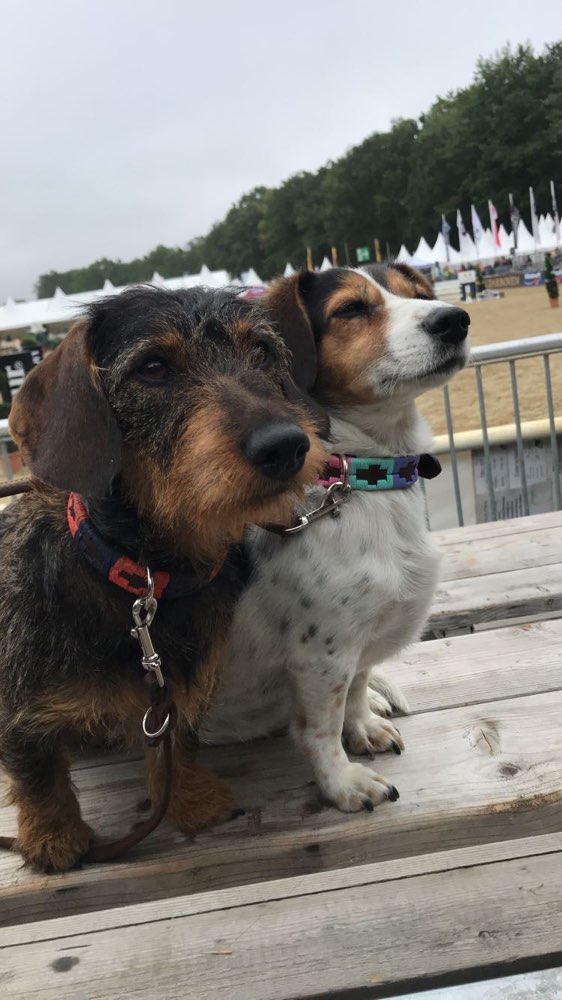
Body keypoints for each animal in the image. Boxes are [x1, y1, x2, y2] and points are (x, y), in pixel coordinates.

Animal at [0, 285, 325, 871]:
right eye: (152, 368)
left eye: (262, 351)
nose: (285, 446)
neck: (148, 582)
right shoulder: (18, 707)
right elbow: (36, 768)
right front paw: (53, 837)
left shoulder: (176, 694)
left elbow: (176, 744)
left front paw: (191, 800)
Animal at [203, 264, 470, 811]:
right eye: (351, 308)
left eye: (420, 293)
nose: (455, 320)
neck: (361, 475)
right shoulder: (321, 654)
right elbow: (321, 728)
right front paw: (342, 784)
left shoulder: (357, 640)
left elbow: (357, 687)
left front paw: (362, 726)